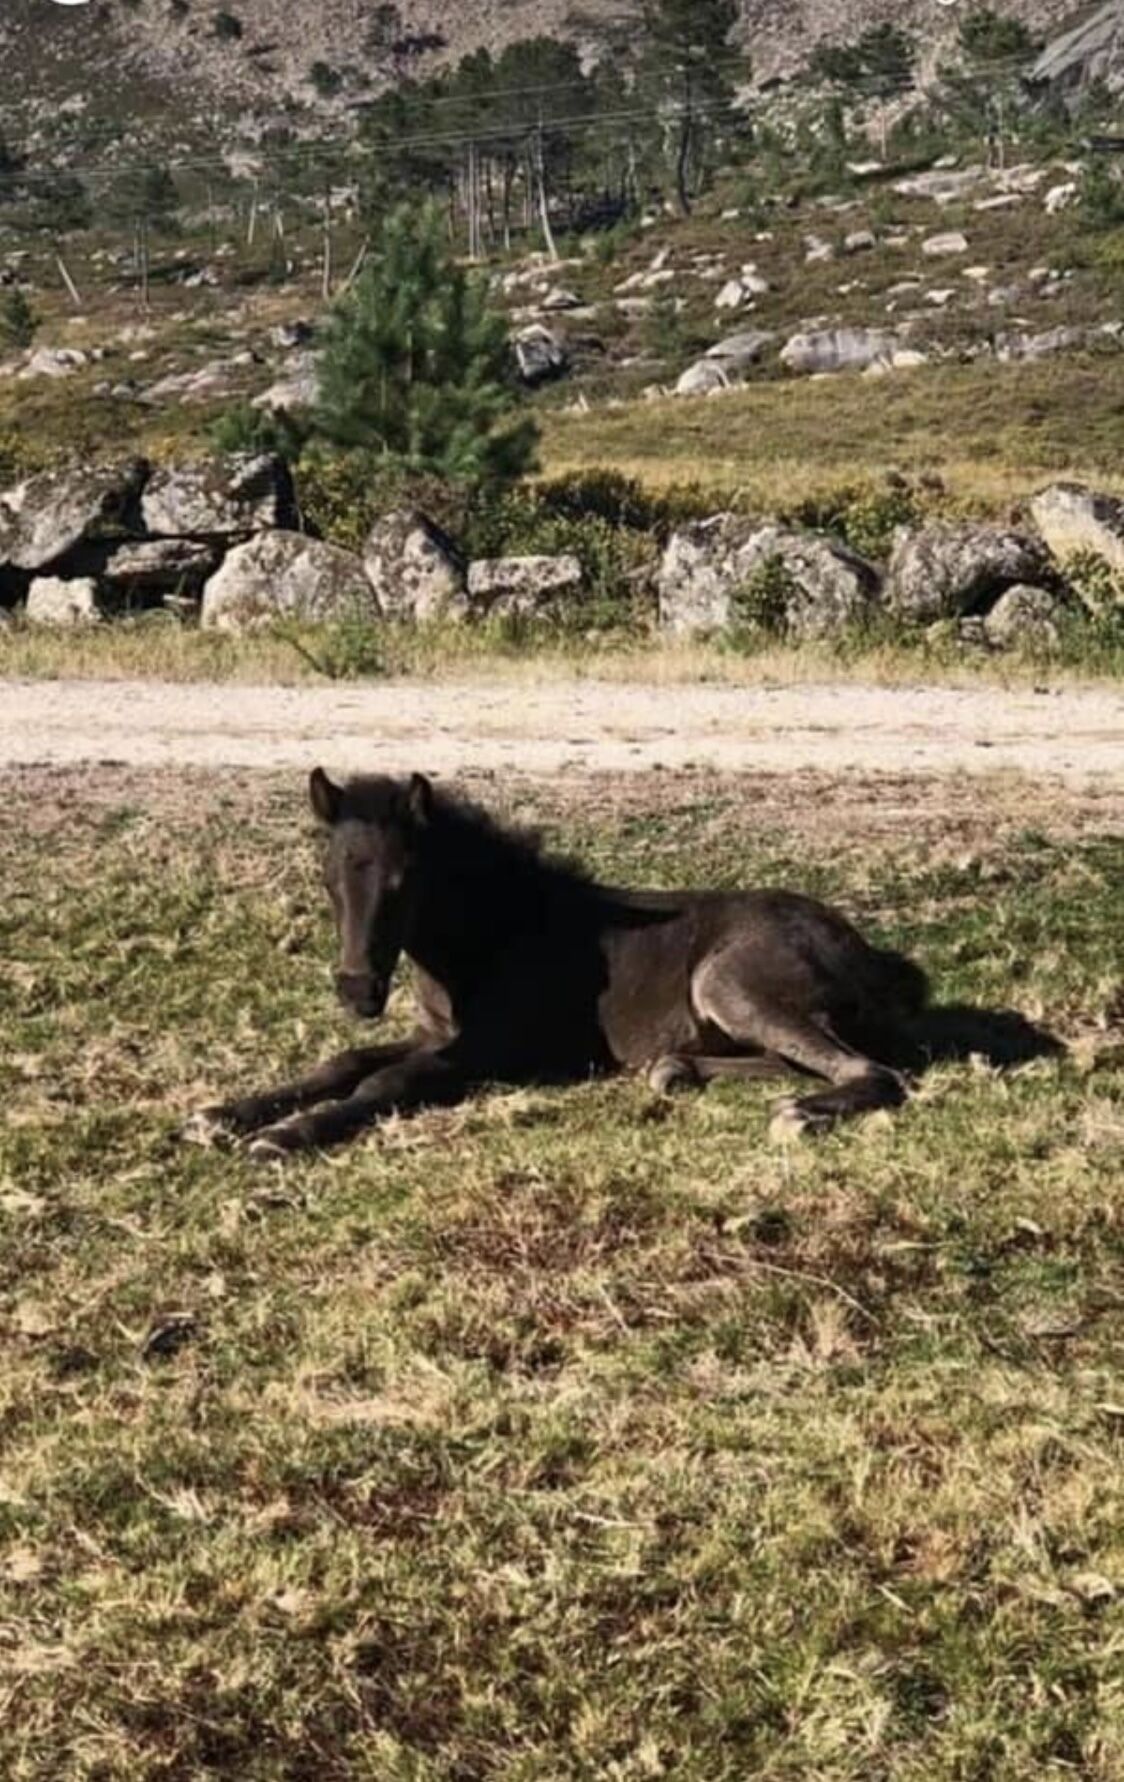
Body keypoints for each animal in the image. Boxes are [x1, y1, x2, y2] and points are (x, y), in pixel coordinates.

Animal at [183, 768, 933, 1163]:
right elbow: (341, 1063)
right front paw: (221, 1113)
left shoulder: (486, 1050)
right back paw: (674, 1071)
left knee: (871, 1071)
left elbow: (383, 1082)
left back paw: (800, 1114)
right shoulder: (436, 1034)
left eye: (403, 882)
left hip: (727, 982)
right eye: (327, 881)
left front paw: (285, 1135)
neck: (491, 936)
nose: (358, 991)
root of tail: (875, 960)